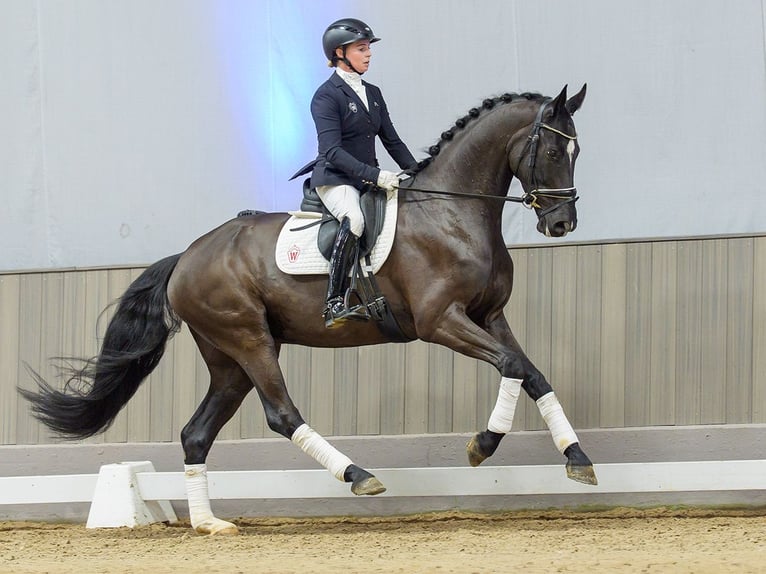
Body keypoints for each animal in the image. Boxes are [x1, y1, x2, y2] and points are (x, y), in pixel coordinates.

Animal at [21, 84, 595, 535]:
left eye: (577, 150)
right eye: (550, 149)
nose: (561, 224)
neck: (450, 212)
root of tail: (186, 256)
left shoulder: (489, 316)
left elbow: (533, 374)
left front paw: (579, 460)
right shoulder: (441, 322)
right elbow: (514, 366)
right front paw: (483, 445)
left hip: (228, 359)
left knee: (196, 433)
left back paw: (209, 523)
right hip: (249, 339)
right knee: (281, 414)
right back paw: (359, 477)